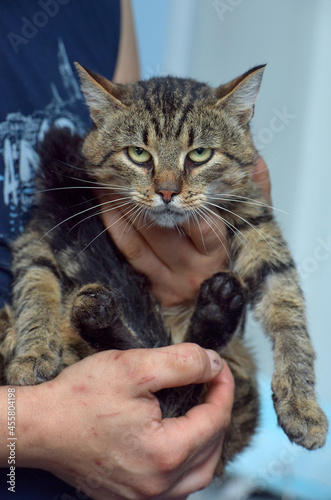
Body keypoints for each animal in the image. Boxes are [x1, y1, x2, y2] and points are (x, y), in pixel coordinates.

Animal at [0, 62, 328, 472]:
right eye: (138, 154)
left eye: (200, 154)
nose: (167, 192)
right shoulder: (38, 235)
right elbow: (36, 286)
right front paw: (34, 353)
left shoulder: (259, 229)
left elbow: (289, 315)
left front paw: (302, 402)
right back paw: (100, 314)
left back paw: (215, 307)